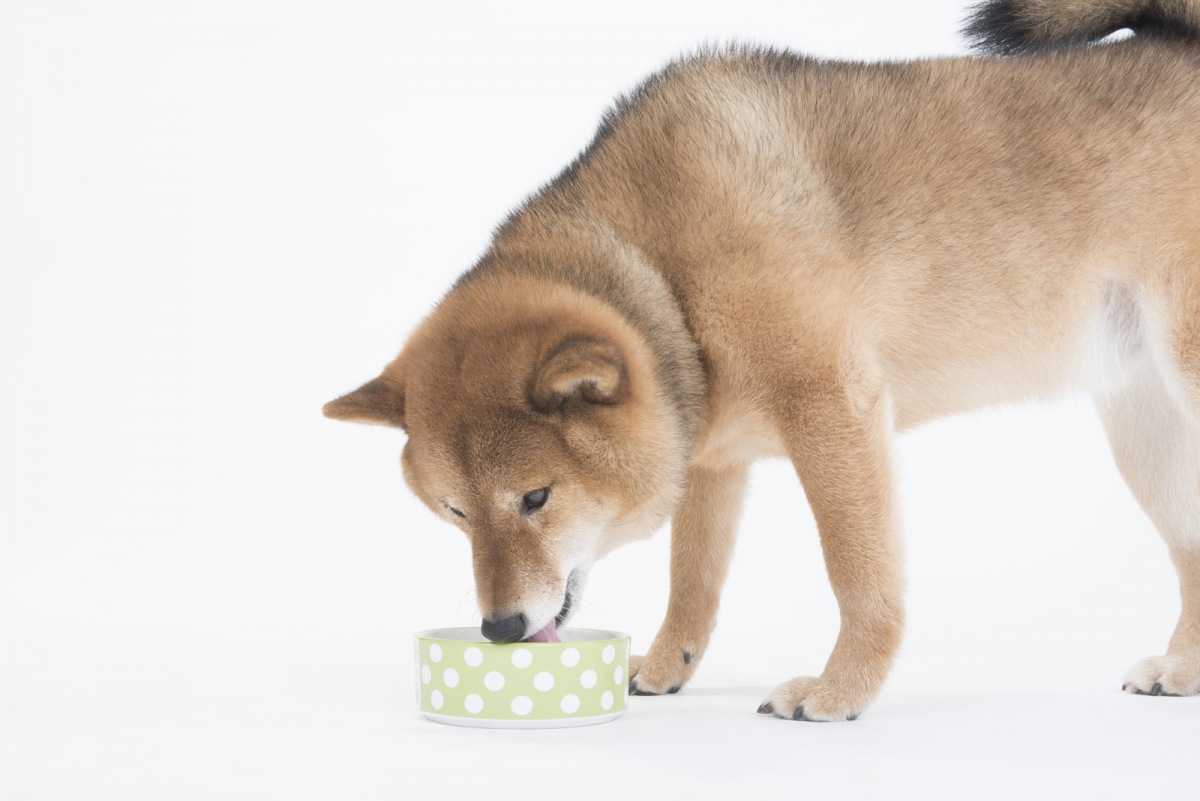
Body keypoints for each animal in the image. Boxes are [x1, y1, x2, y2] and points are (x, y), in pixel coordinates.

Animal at [324, 0, 1200, 724]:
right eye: (455, 511)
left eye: (535, 498)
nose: (500, 628)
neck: (660, 262)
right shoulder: (710, 458)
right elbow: (693, 580)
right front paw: (665, 665)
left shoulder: (833, 410)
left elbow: (859, 576)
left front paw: (841, 689)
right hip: (1146, 436)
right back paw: (1184, 670)